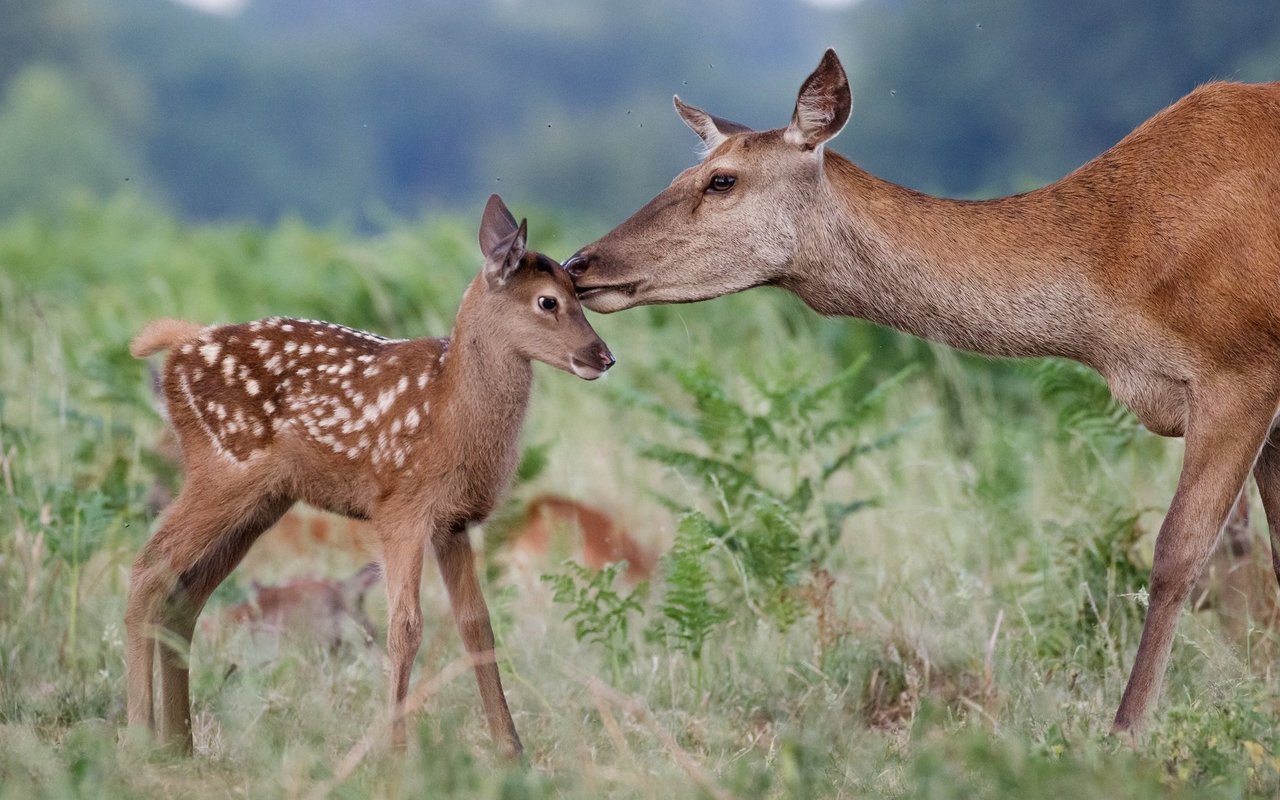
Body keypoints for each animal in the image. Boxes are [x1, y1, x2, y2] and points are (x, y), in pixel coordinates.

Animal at [124, 194, 614, 752]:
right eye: (548, 302)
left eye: (580, 293)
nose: (603, 356)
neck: (450, 411)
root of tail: (178, 349)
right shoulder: (400, 509)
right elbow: (406, 626)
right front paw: (396, 751)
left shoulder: (452, 522)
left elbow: (477, 625)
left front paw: (510, 750)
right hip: (222, 470)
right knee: (147, 569)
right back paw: (139, 736)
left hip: (260, 500)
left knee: (183, 595)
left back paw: (179, 745)